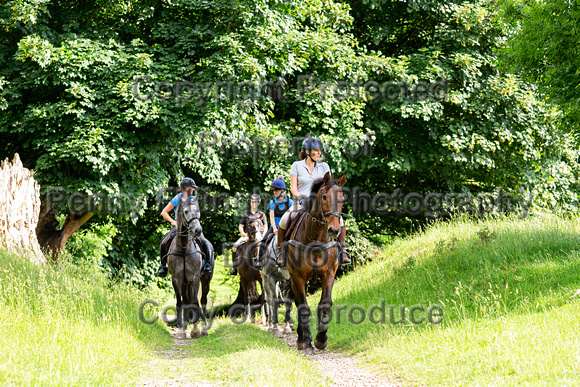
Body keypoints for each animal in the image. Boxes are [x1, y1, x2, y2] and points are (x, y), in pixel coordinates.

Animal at [165, 196, 213, 338]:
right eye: (185, 211)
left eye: (197, 210)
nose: (198, 230)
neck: (184, 248)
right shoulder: (177, 279)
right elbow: (181, 302)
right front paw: (181, 329)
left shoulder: (195, 277)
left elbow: (195, 302)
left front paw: (196, 330)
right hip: (185, 283)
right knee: (187, 300)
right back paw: (186, 326)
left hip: (205, 280)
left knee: (202, 301)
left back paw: (203, 328)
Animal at [280, 171, 344, 354]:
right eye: (324, 197)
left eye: (342, 198)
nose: (334, 230)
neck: (316, 237)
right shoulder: (298, 277)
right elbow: (303, 306)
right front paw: (305, 342)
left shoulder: (329, 274)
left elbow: (325, 304)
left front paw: (321, 339)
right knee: (297, 302)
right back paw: (302, 336)